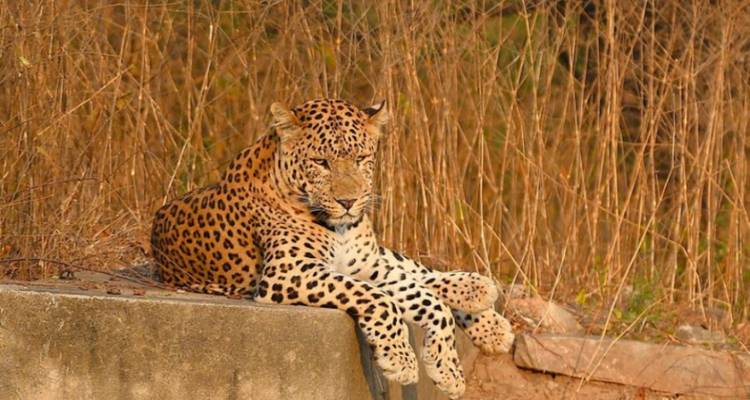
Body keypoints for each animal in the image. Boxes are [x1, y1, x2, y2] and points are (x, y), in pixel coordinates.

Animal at [150, 98, 514, 399]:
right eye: (321, 161)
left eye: (361, 158)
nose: (349, 202)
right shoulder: (290, 272)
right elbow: (384, 298)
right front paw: (404, 360)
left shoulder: (365, 266)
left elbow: (422, 295)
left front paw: (446, 368)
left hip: (376, 256)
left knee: (417, 270)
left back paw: (484, 305)